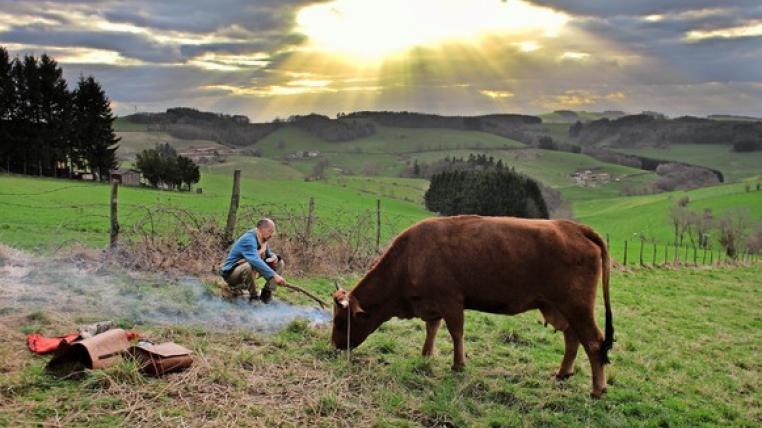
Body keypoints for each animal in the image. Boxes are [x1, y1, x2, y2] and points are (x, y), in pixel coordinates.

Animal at [331, 215, 614, 398]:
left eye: (342, 320)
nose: (334, 346)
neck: (410, 258)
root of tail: (574, 228)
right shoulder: (432, 304)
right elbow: (432, 329)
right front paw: (426, 354)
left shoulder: (452, 301)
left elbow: (456, 333)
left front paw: (458, 365)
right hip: (559, 307)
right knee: (572, 337)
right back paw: (563, 373)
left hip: (577, 306)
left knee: (594, 343)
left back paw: (597, 389)